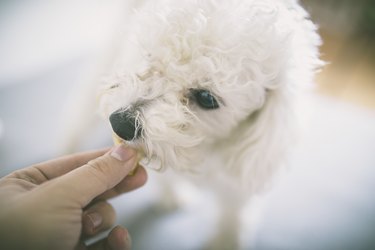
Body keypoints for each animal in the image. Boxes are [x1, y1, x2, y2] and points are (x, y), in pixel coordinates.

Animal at [69, 0, 322, 247]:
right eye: (150, 57)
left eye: (206, 98)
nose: (120, 124)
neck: (202, 148)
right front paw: (171, 194)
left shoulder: (239, 185)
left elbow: (232, 218)